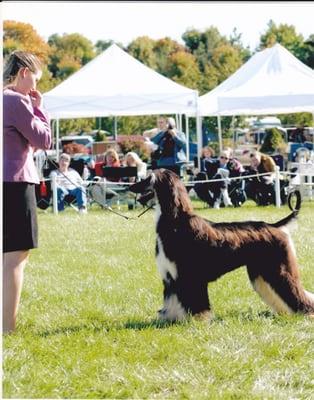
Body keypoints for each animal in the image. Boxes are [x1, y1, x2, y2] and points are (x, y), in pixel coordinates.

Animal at [129, 169, 314, 322]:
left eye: (148, 178)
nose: (130, 186)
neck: (176, 222)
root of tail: (275, 226)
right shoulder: (171, 277)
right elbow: (172, 301)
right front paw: (171, 319)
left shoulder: (189, 275)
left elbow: (195, 301)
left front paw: (198, 320)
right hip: (261, 272)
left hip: (279, 269)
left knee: (296, 291)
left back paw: (307, 314)